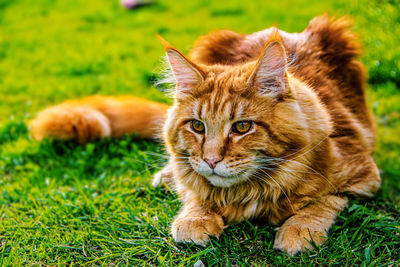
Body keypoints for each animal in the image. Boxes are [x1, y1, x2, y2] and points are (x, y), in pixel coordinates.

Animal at [31, 15, 382, 258]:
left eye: (241, 127)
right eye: (197, 126)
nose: (212, 159)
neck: (248, 193)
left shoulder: (364, 173)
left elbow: (324, 201)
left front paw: (299, 229)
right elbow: (194, 191)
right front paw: (195, 217)